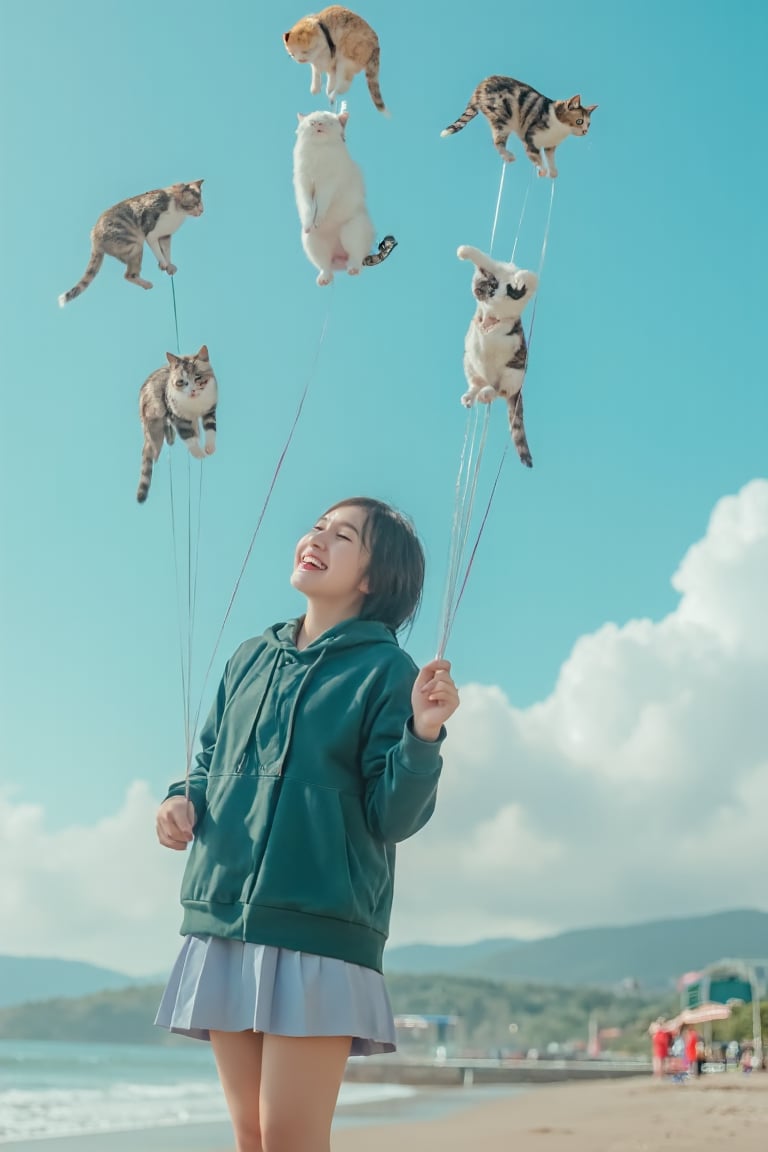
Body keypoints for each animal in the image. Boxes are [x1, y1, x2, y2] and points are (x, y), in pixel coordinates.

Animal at [58, 179, 203, 306]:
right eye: (195, 203)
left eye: (202, 203)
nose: (202, 210)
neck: (178, 212)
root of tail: (94, 237)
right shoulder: (150, 231)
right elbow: (157, 250)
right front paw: (163, 264)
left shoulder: (165, 235)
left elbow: (166, 251)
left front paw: (170, 265)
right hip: (135, 243)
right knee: (129, 275)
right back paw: (146, 284)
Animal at [135, 343, 216, 502]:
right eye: (181, 382)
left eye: (198, 377)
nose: (192, 391)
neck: (194, 403)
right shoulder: (177, 416)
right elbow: (187, 435)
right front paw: (198, 453)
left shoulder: (209, 409)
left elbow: (211, 428)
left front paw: (209, 447)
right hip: (154, 420)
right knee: (154, 446)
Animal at [292, 104, 396, 284]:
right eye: (311, 121)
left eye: (327, 120)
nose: (317, 123)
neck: (318, 152)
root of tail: (340, 257)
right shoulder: (303, 184)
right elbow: (307, 207)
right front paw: (309, 223)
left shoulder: (328, 184)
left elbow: (321, 203)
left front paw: (318, 219)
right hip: (311, 242)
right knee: (325, 265)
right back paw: (324, 278)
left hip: (351, 230)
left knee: (356, 258)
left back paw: (353, 268)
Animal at [442, 76, 598, 176]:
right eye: (579, 121)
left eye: (589, 124)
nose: (585, 131)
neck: (560, 130)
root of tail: (480, 86)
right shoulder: (530, 138)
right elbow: (536, 157)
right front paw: (542, 170)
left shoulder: (550, 146)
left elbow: (550, 158)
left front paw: (553, 172)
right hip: (502, 117)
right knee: (497, 142)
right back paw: (508, 156)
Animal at [455, 246, 541, 467]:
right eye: (487, 289)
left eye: (513, 292)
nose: (496, 292)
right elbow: (479, 255)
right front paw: (464, 252)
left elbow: (530, 277)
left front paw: (520, 278)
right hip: (469, 361)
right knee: (478, 385)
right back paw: (471, 396)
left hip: (512, 373)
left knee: (499, 390)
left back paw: (486, 393)